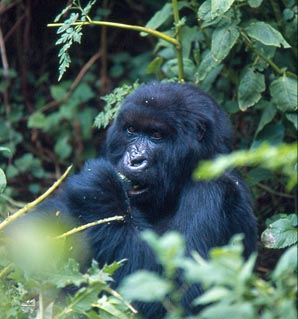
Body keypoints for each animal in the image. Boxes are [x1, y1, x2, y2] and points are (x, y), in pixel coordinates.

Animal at [11, 84, 256, 318]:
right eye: (131, 130)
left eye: (157, 135)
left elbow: (184, 293)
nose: (135, 159)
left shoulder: (212, 190)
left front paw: (102, 190)